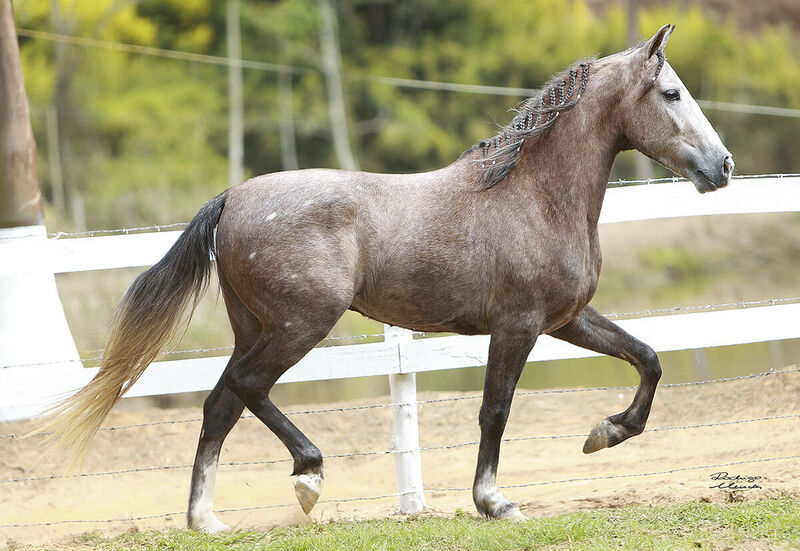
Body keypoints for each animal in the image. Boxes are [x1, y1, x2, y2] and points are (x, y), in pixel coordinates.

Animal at [37, 24, 732, 532]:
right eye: (671, 94)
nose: (722, 166)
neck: (533, 194)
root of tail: (234, 198)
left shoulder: (566, 320)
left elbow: (648, 358)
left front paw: (605, 433)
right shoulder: (518, 327)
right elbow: (495, 410)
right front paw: (495, 502)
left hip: (255, 326)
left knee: (220, 405)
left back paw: (206, 520)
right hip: (301, 324)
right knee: (247, 387)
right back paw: (308, 476)